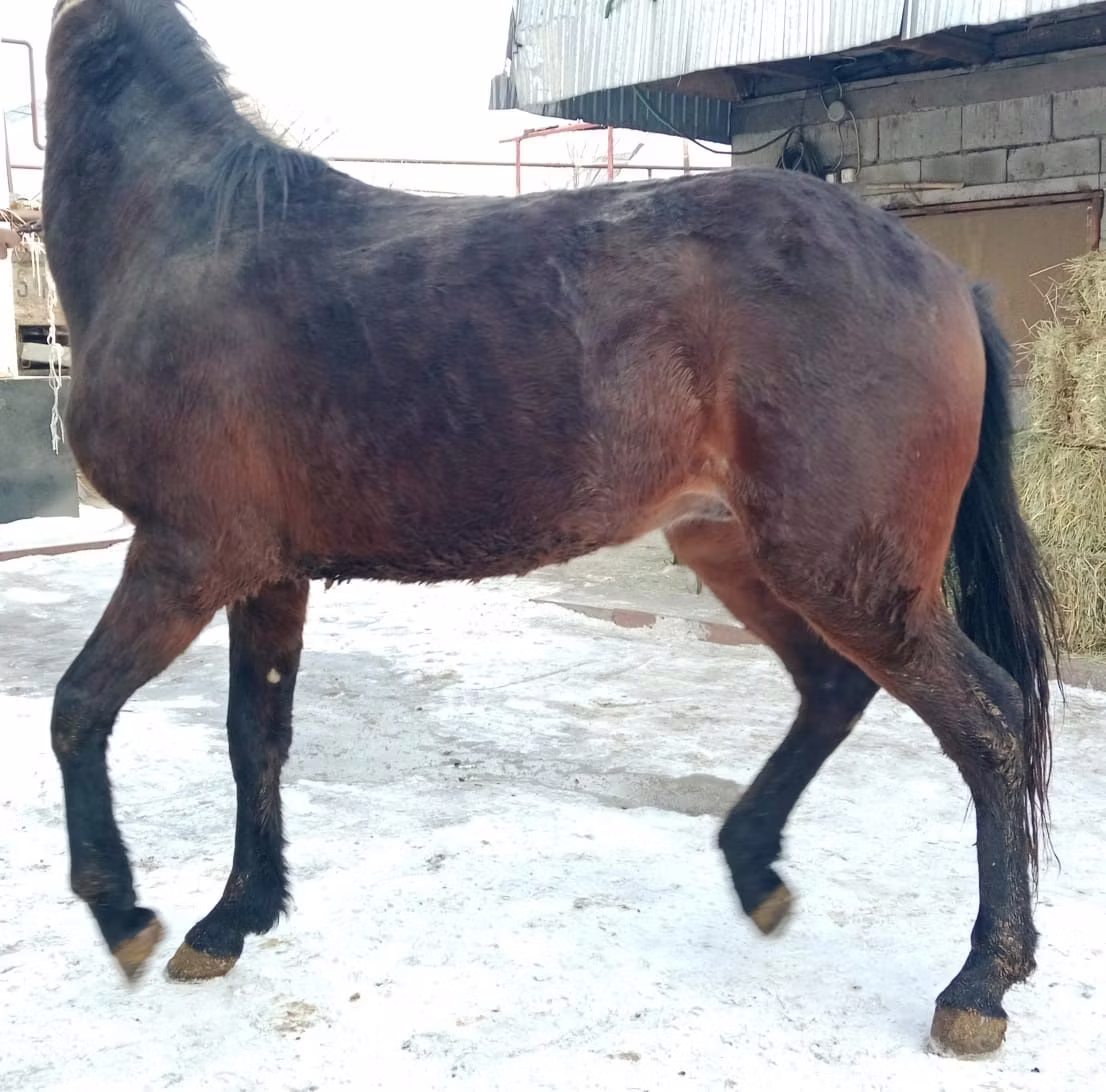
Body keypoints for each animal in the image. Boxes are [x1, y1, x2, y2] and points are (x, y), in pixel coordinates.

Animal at [42, 0, 1061, 1057]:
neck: (179, 233)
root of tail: (945, 279)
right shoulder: (266, 576)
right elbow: (255, 739)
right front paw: (230, 920)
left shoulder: (184, 558)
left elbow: (77, 710)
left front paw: (125, 916)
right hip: (742, 552)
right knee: (832, 689)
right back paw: (756, 872)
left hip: (848, 575)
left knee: (992, 721)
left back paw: (980, 984)